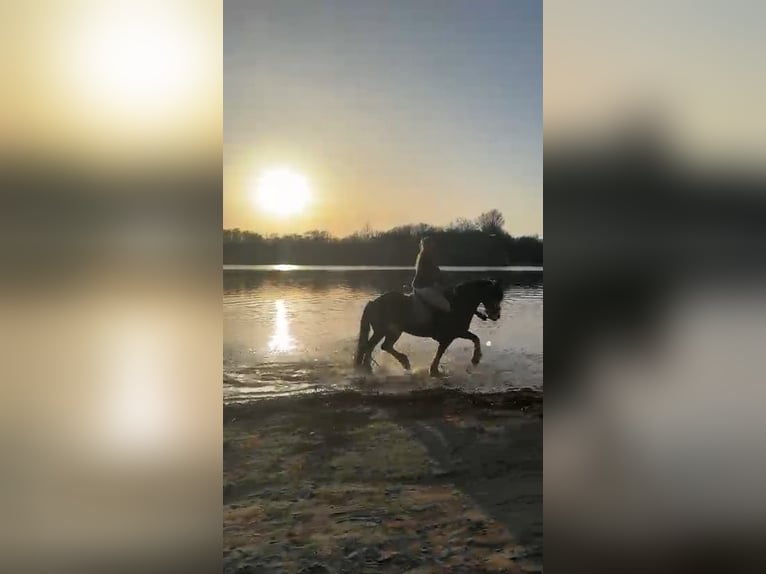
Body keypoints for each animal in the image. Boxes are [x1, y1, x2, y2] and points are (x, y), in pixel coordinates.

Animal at [354, 279, 505, 376]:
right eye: (492, 295)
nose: (496, 316)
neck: (459, 303)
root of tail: (373, 302)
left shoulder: (458, 333)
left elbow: (475, 338)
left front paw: (475, 359)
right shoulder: (451, 335)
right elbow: (441, 352)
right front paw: (435, 371)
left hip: (387, 331)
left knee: (375, 346)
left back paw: (371, 368)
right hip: (389, 331)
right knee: (377, 346)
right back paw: (400, 363)